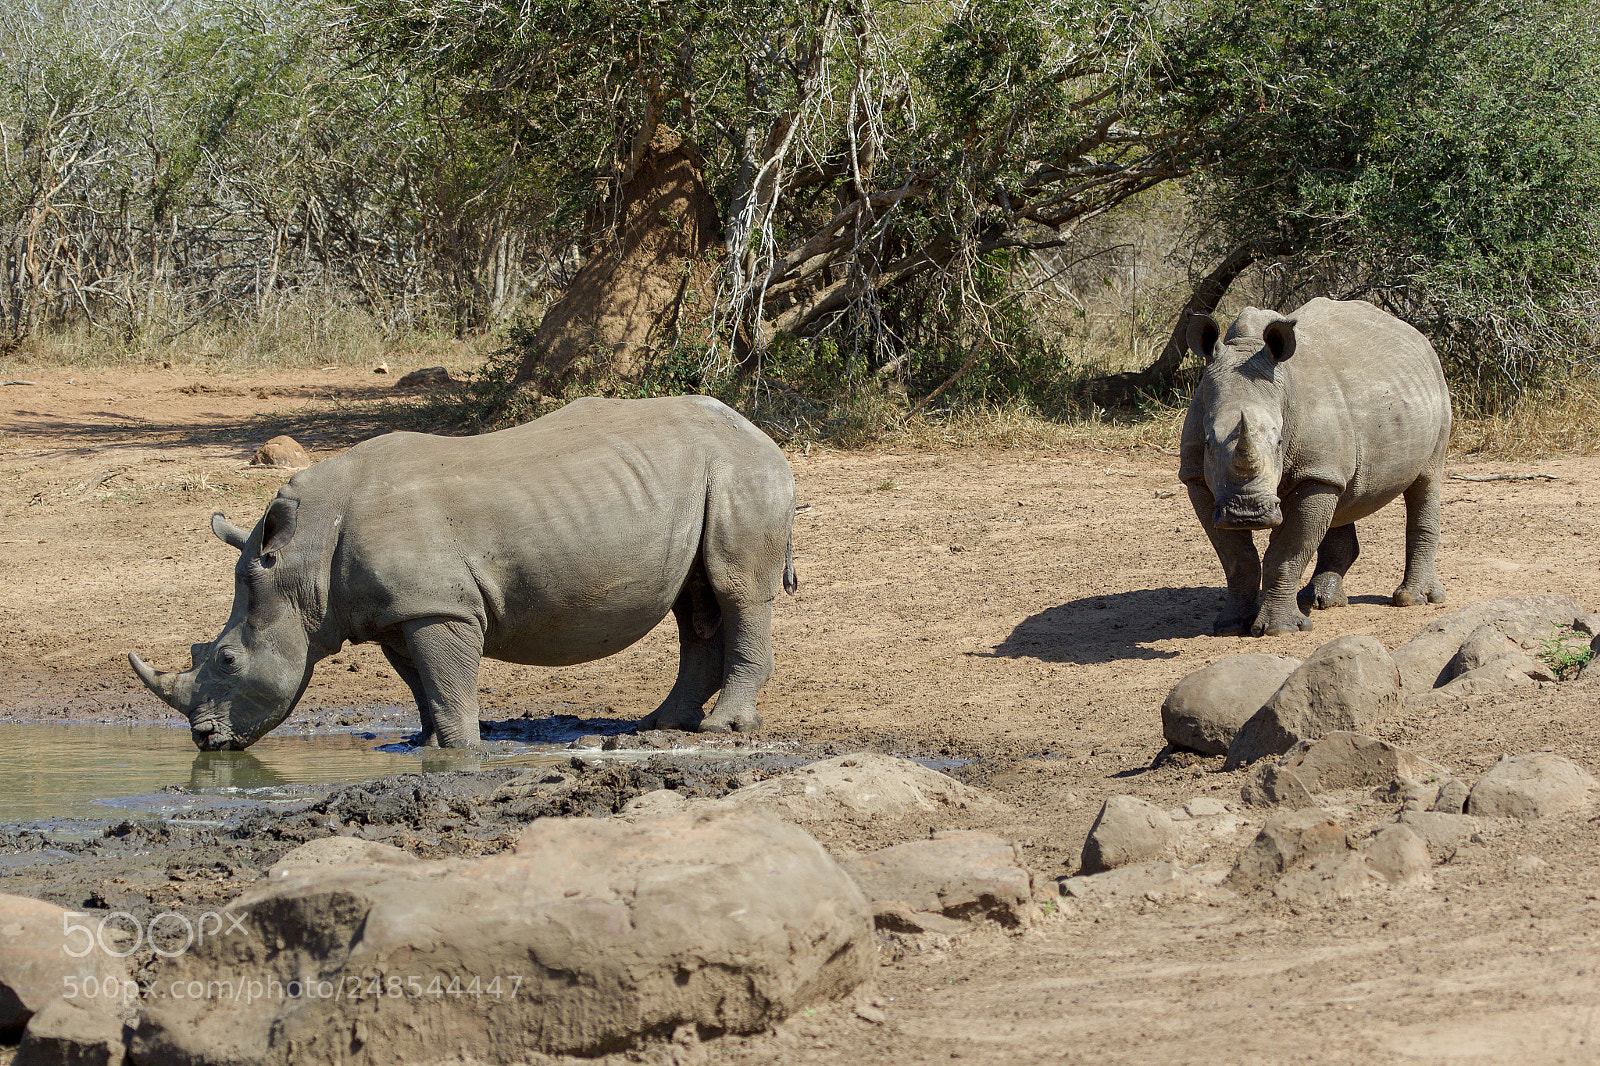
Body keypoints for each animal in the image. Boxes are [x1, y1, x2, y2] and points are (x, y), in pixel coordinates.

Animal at [130, 395, 797, 750]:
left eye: (227, 660)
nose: (204, 740)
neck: (302, 561)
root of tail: (760, 432)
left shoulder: (437, 606)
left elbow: (447, 679)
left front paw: (457, 750)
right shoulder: (399, 610)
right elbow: (421, 683)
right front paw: (424, 745)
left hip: (741, 472)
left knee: (737, 592)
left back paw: (721, 728)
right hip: (706, 476)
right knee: (694, 604)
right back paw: (659, 726)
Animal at [1179, 297, 1452, 637]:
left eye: (1280, 441)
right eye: (1208, 443)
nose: (1247, 513)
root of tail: (1415, 334)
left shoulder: (1314, 472)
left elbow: (1287, 552)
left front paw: (1280, 630)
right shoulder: (1197, 478)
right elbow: (1237, 558)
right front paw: (1230, 626)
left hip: (1436, 386)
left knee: (1427, 478)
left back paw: (1414, 599)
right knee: (1343, 496)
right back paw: (1320, 600)